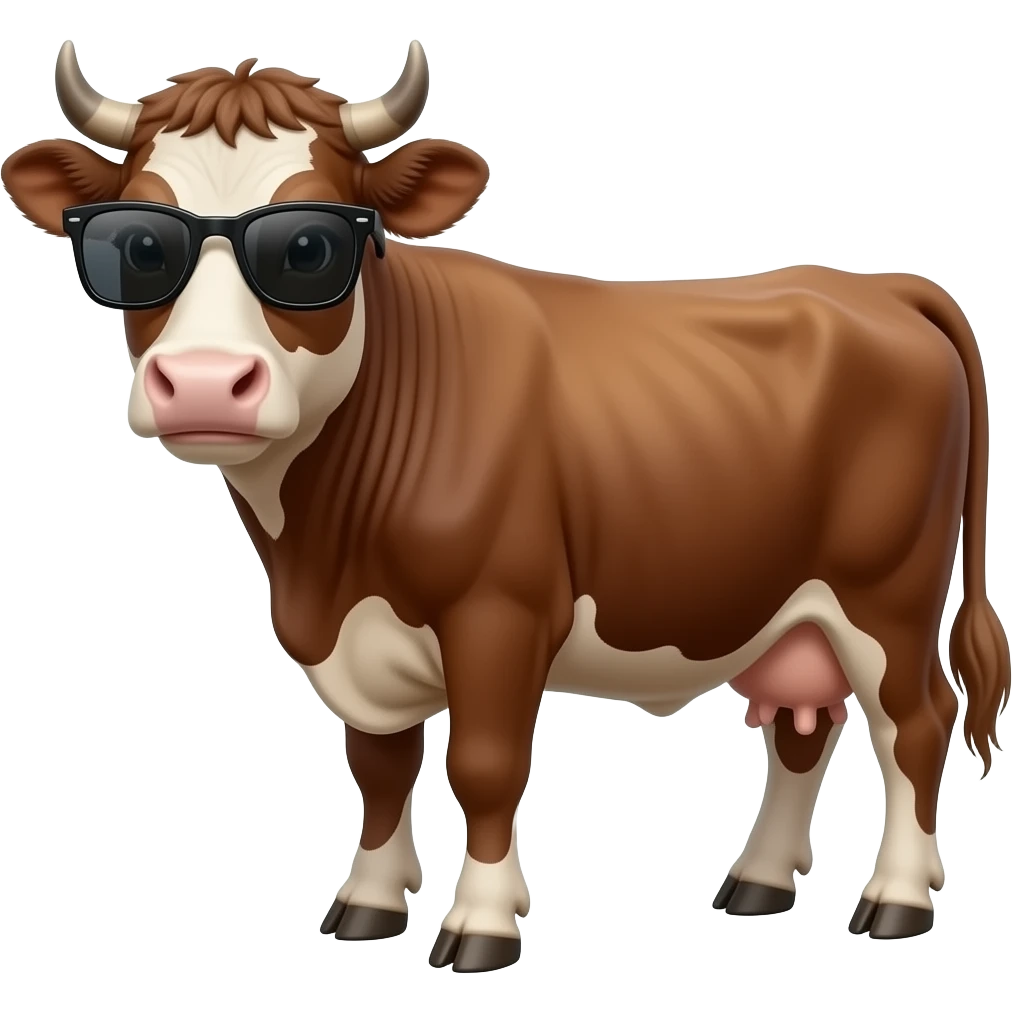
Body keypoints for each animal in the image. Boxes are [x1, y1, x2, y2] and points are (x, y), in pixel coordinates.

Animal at [2, 39, 1008, 973]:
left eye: (307, 248)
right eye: (139, 246)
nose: (206, 383)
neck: (321, 552)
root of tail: (874, 284)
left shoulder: (500, 608)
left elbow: (483, 765)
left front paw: (480, 923)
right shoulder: (351, 634)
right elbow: (379, 766)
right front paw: (368, 903)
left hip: (887, 594)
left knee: (915, 722)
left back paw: (896, 898)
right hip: (787, 604)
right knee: (809, 728)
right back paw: (757, 881)